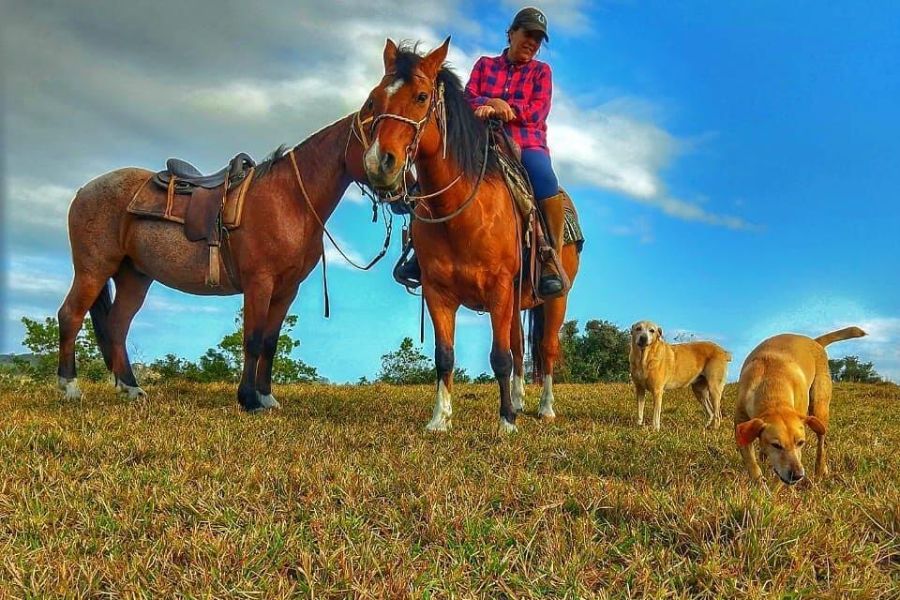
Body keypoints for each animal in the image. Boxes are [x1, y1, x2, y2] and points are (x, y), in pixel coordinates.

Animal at [56, 112, 374, 411]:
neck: (290, 198)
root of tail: (84, 190)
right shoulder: (259, 283)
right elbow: (253, 340)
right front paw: (249, 400)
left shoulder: (286, 290)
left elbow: (270, 343)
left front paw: (267, 397)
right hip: (93, 269)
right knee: (70, 315)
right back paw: (70, 388)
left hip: (134, 277)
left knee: (117, 325)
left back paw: (131, 388)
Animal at [362, 39, 581, 433]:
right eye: (374, 99)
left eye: (421, 97)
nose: (378, 164)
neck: (461, 210)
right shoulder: (437, 291)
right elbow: (445, 355)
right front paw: (440, 419)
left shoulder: (498, 289)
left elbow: (500, 357)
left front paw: (506, 423)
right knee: (520, 346)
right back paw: (520, 400)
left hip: (555, 298)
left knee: (546, 349)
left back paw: (544, 408)